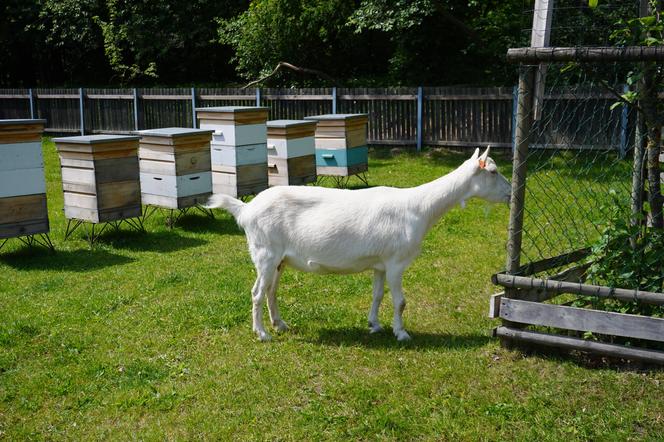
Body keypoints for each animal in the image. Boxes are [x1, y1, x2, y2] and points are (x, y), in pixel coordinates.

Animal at [210, 148, 510, 342]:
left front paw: (374, 325)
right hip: (265, 253)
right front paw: (402, 333)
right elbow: (401, 301)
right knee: (257, 292)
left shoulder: (380, 264)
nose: (510, 194)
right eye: (494, 171)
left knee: (271, 290)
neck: (419, 208)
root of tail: (246, 209)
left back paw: (279, 325)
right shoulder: (397, 262)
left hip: (279, 260)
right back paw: (262, 334)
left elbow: (377, 295)